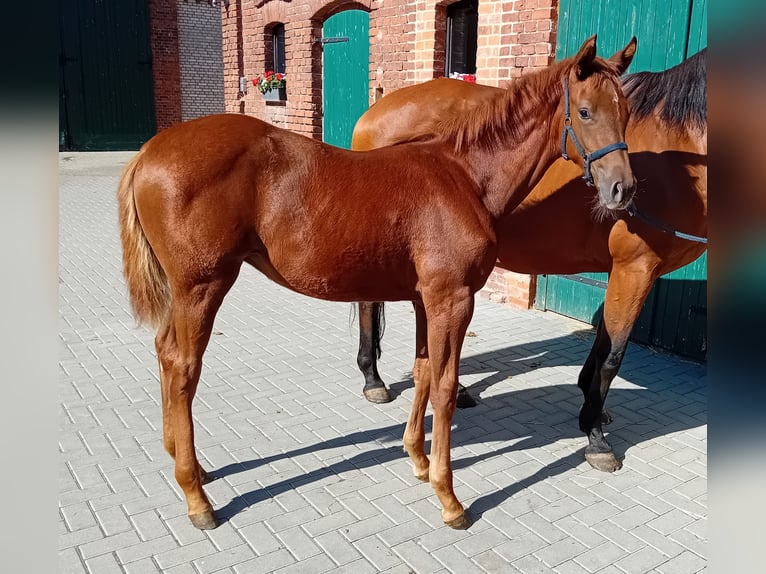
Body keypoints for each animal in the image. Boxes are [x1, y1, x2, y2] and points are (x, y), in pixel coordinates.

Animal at [118, 35, 636, 532]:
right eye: (585, 112)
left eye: (627, 112)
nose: (623, 189)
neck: (464, 176)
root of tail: (147, 153)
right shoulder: (453, 299)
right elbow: (446, 387)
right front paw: (449, 498)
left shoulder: (426, 299)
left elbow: (424, 373)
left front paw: (419, 461)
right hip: (202, 287)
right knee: (183, 368)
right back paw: (196, 496)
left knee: (165, 353)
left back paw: (190, 465)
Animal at [352, 48, 708, 476]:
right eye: (585, 113)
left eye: (626, 113)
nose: (622, 191)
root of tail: (375, 112)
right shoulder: (635, 268)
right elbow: (612, 357)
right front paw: (596, 438)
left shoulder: (623, 273)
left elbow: (602, 343)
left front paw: (592, 411)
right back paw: (373, 380)